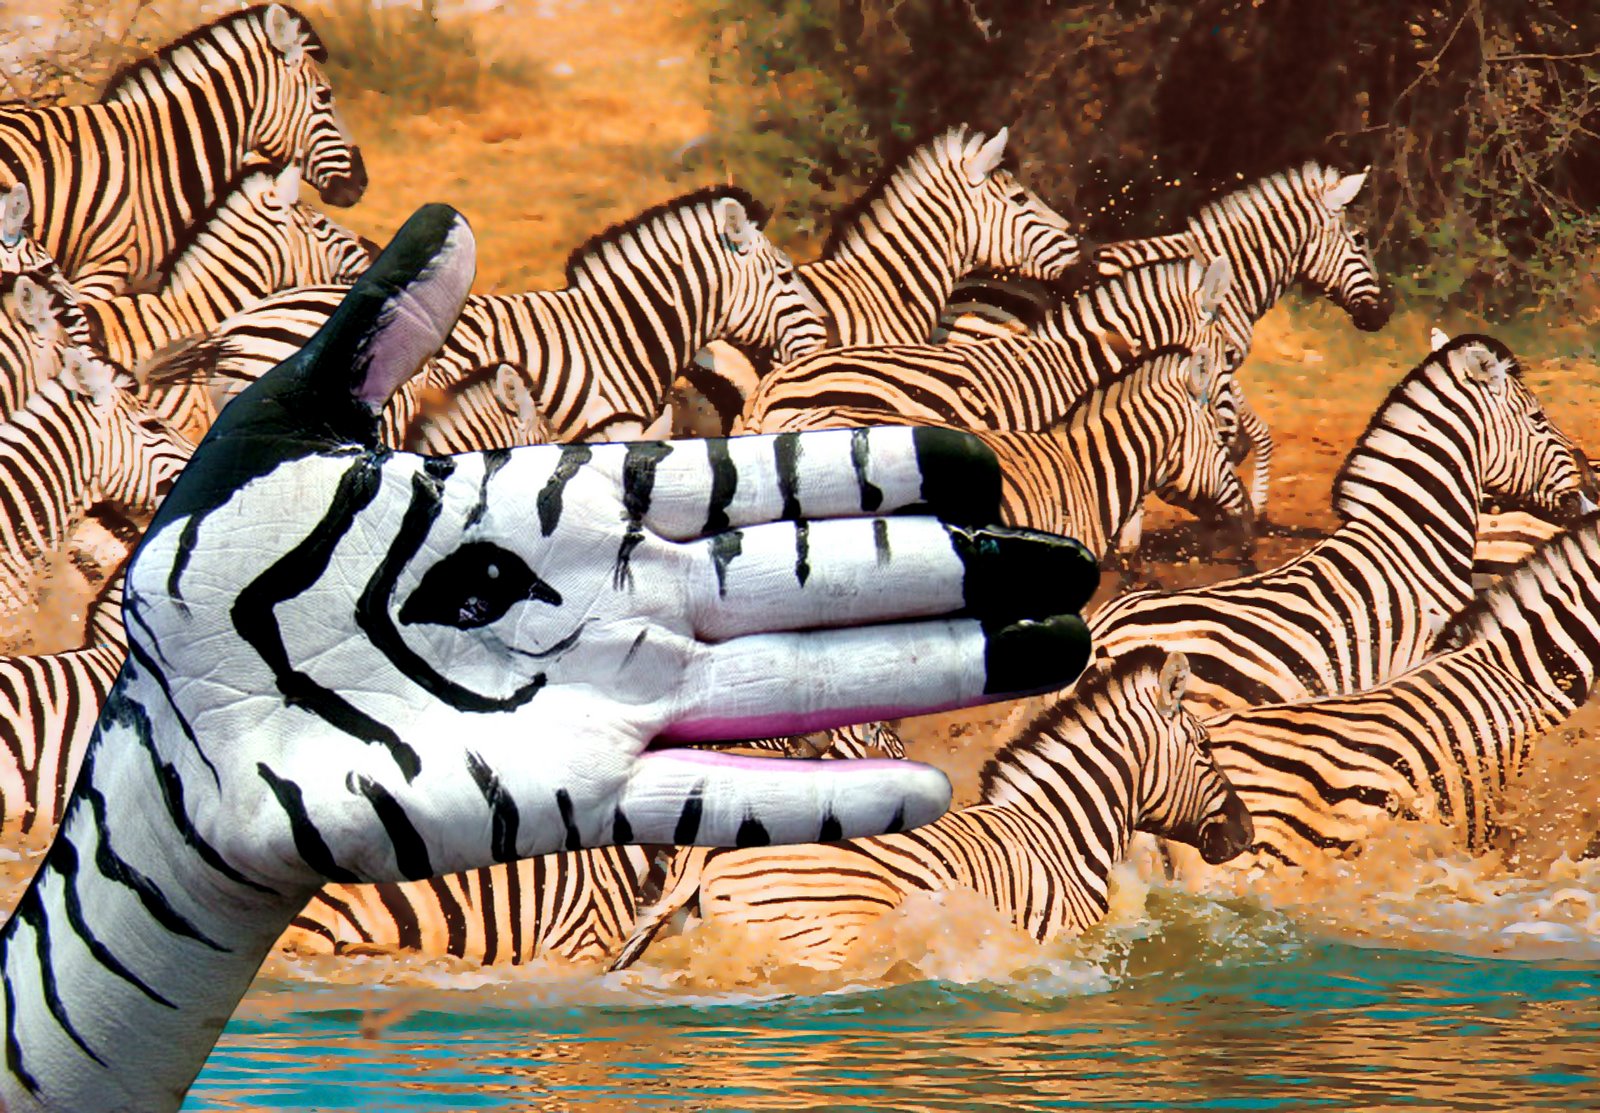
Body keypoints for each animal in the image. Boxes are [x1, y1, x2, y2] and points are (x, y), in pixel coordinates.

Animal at [611, 648, 1253, 972]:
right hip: (833, 933)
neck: (1063, 835)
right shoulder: (1063, 937)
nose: (1246, 834)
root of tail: (708, 854)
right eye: (1204, 747)